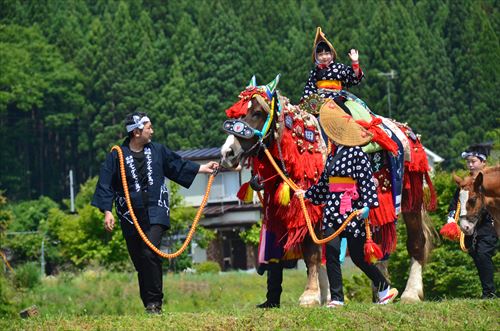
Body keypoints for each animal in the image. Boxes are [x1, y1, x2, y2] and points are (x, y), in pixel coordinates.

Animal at [221, 76, 436, 306]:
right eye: (238, 113)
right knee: (380, 249)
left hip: (410, 197)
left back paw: (410, 293)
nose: (227, 153)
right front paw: (324, 296)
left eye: (256, 113)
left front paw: (310, 295)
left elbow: (313, 252)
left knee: (416, 242)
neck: (303, 147)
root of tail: (408, 131)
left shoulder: (312, 207)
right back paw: (380, 293)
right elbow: (319, 251)